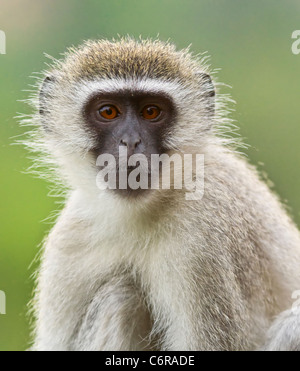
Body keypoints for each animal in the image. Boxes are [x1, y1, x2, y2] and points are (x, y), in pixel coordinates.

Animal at [24, 37, 300, 352]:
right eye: (108, 111)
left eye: (151, 112)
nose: (130, 141)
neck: (137, 214)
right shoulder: (69, 241)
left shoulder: (202, 236)